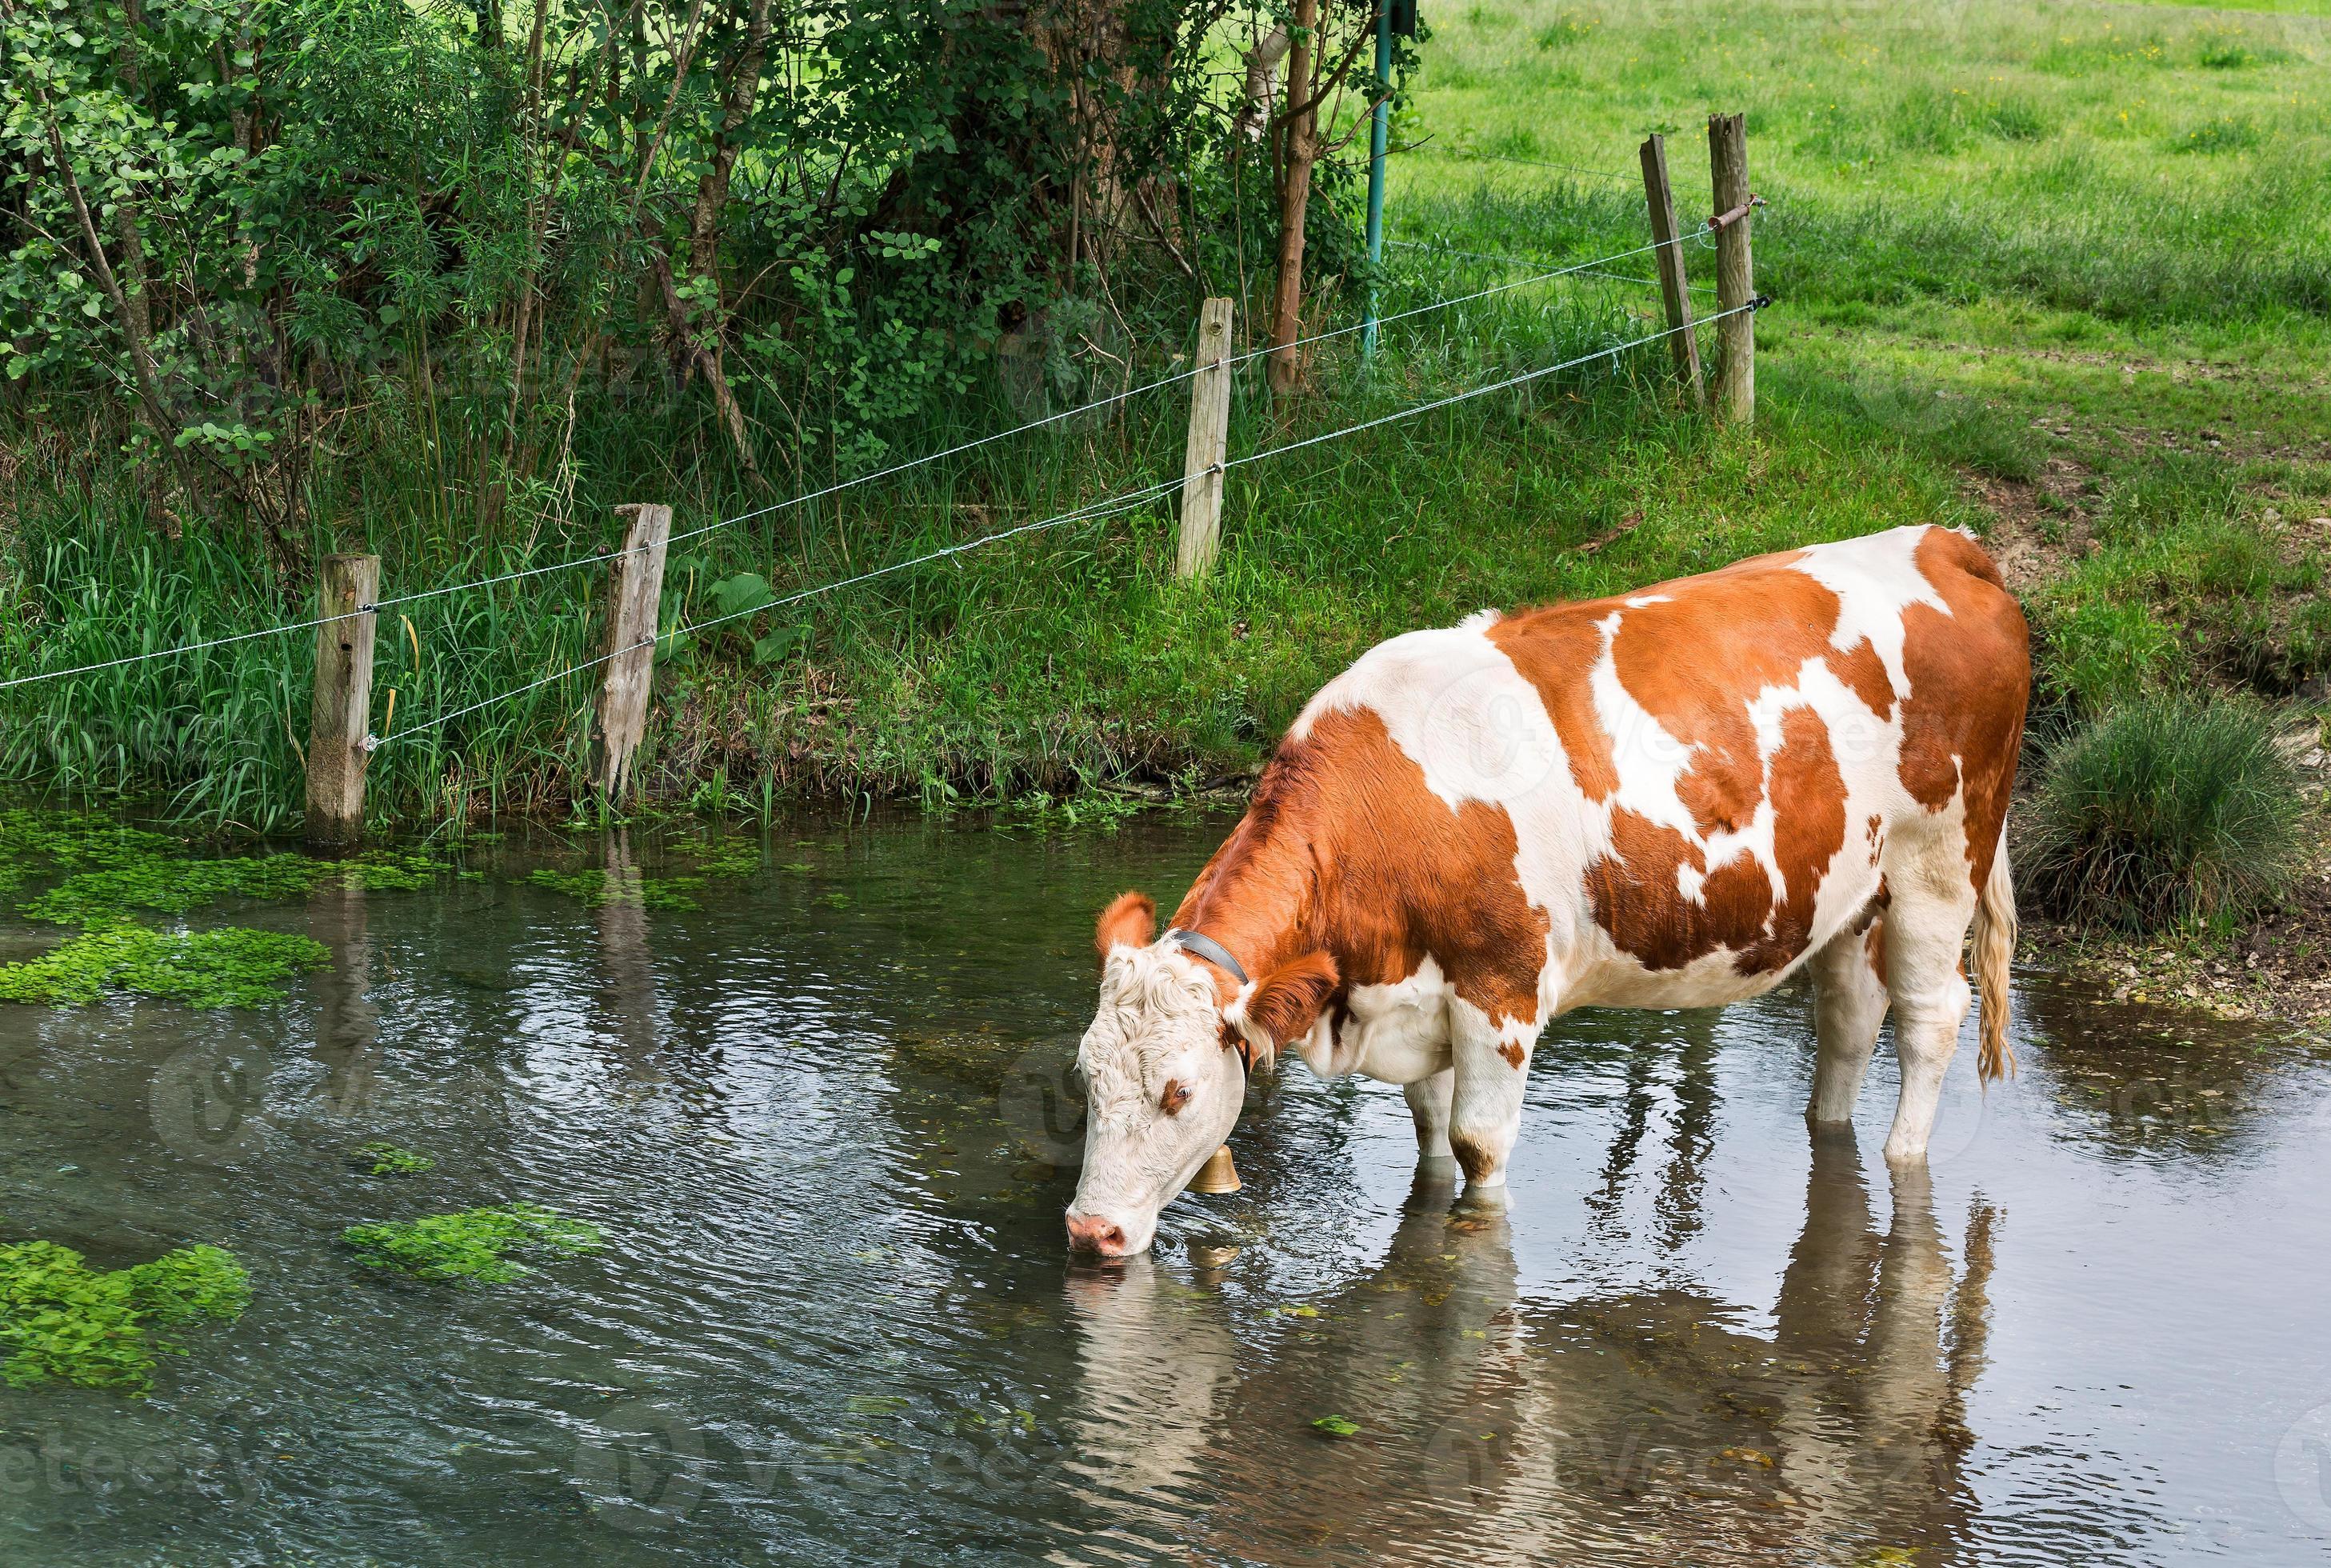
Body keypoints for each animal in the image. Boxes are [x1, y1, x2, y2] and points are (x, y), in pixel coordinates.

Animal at [1065, 524, 2028, 1257]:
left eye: (1179, 1092)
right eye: (1085, 1077)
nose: (1088, 1230)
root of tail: (1943, 542)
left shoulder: (1502, 989)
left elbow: (1476, 1149)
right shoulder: (1420, 996)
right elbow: (1430, 1135)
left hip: (1941, 860)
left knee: (1930, 1017)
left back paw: (1905, 1157)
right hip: (1854, 892)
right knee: (1851, 1017)